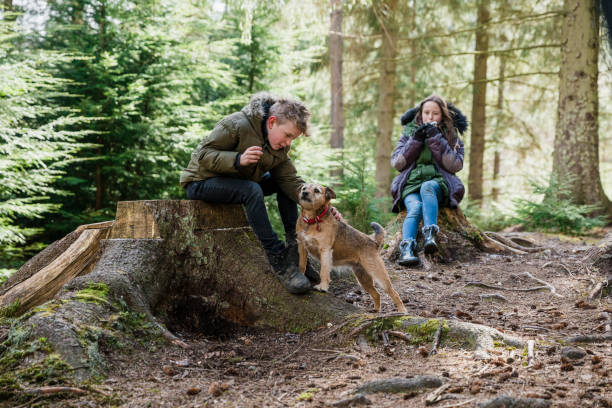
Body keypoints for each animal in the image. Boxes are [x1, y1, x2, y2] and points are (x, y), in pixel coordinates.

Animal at [296, 182, 406, 312]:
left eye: (317, 190)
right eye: (304, 188)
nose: (304, 193)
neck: (311, 221)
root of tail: (373, 242)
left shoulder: (325, 251)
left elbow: (324, 271)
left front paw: (322, 287)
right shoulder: (302, 247)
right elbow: (301, 266)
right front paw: (300, 278)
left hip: (378, 275)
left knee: (394, 293)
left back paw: (402, 311)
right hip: (363, 277)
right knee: (376, 294)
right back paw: (375, 310)